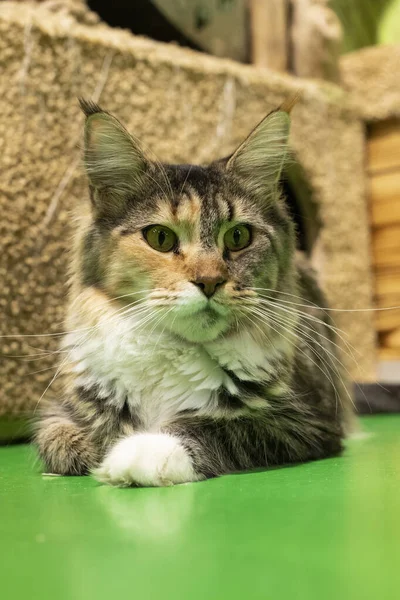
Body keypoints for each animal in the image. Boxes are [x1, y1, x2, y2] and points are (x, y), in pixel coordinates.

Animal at [35, 96, 354, 486]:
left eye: (238, 236)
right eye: (160, 238)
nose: (210, 281)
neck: (173, 353)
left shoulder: (307, 420)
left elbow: (219, 426)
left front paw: (139, 452)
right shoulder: (68, 403)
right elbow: (55, 436)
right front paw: (83, 451)